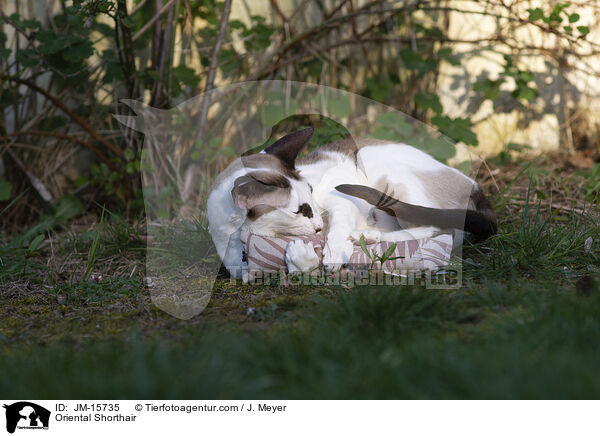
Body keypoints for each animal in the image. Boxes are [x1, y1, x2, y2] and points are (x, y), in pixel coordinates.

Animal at [206, 127, 496, 280]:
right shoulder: (243, 270)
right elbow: (294, 267)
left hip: (376, 165)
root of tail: (476, 186)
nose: (317, 227)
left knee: (433, 227)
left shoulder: (338, 199)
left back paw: (362, 236)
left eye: (310, 194)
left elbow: (337, 231)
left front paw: (334, 253)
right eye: (300, 210)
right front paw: (305, 257)